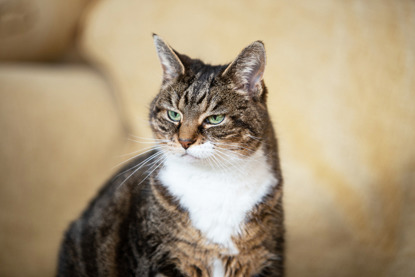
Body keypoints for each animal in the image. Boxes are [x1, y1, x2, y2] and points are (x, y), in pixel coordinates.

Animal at [57, 34, 284, 276]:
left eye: (215, 119)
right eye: (174, 115)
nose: (184, 141)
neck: (213, 181)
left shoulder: (266, 259)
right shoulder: (161, 260)